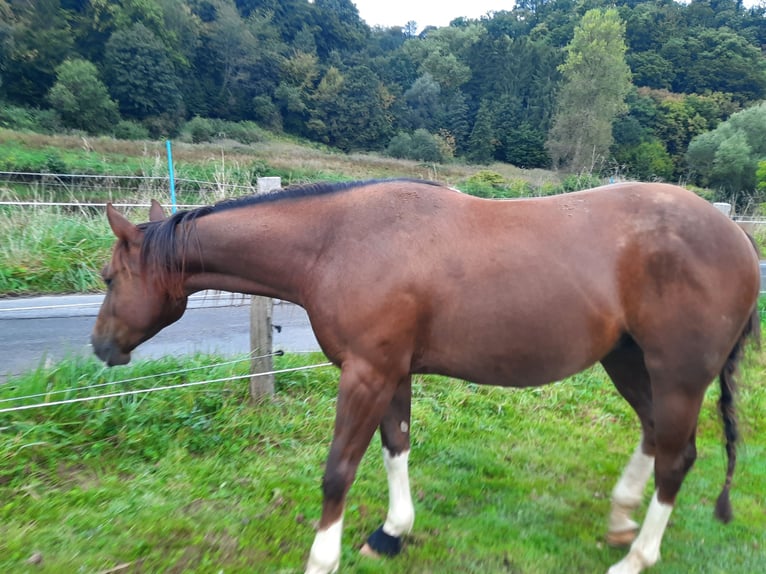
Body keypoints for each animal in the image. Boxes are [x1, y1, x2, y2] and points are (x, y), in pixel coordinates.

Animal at [91, 179, 760, 574]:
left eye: (108, 276)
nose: (100, 346)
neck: (338, 241)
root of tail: (740, 239)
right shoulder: (390, 372)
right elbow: (397, 447)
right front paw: (392, 532)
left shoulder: (366, 373)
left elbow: (339, 468)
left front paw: (322, 557)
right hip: (627, 360)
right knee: (655, 437)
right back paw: (621, 518)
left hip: (677, 374)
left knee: (678, 458)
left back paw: (638, 557)